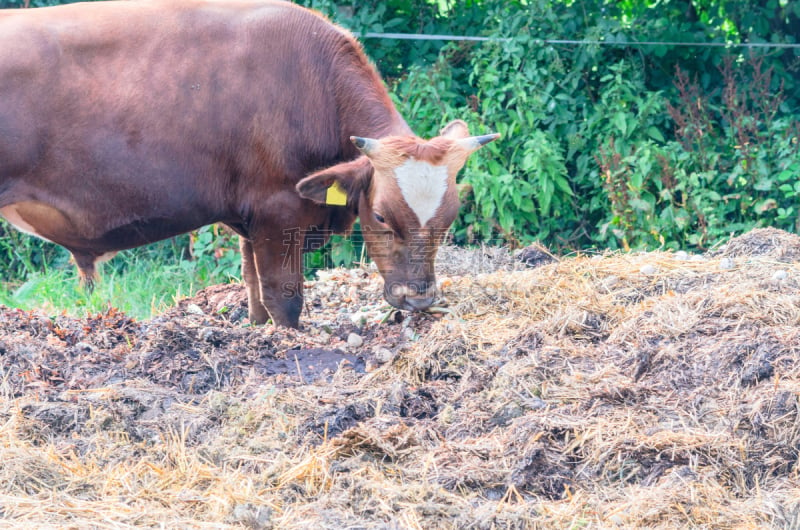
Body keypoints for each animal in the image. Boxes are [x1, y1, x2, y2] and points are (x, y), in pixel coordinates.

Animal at [0, 0, 496, 326]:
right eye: (379, 216)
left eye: (450, 217)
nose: (420, 299)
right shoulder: (279, 211)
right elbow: (283, 300)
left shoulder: (249, 218)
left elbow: (254, 293)